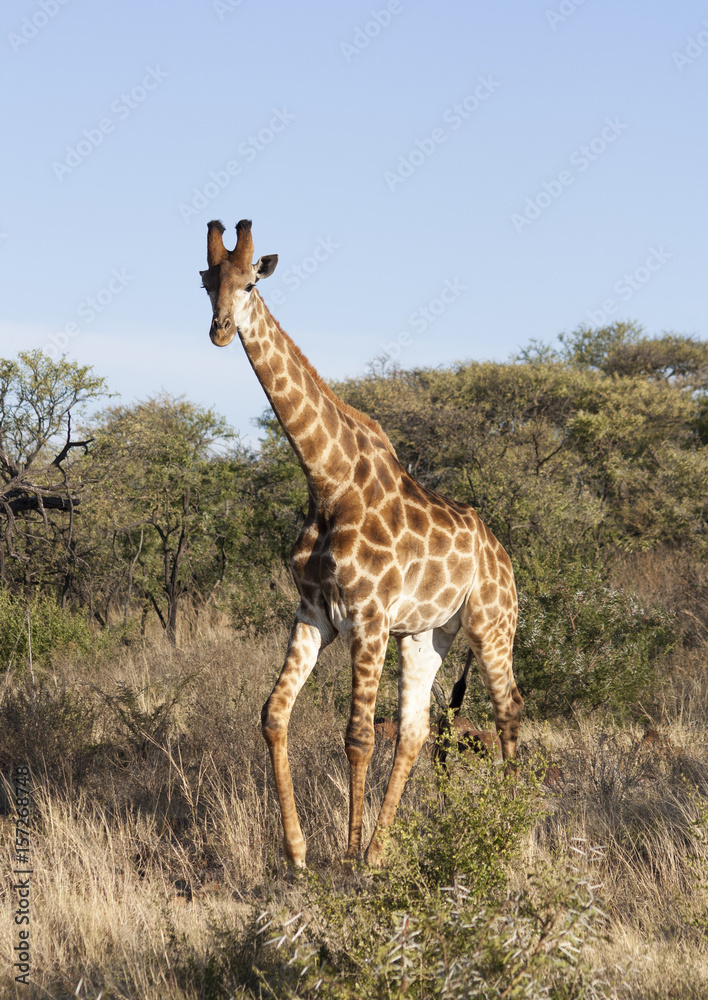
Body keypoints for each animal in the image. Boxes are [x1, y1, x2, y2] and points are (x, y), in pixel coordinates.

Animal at [201, 218, 523, 867]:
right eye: (205, 282)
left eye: (250, 283)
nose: (220, 331)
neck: (327, 479)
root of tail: (506, 560)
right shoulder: (314, 613)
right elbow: (274, 715)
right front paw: (300, 855)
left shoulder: (368, 617)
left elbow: (356, 736)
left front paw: (346, 862)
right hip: (429, 635)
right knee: (419, 730)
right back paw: (380, 850)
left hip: (491, 628)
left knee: (507, 719)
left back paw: (508, 842)